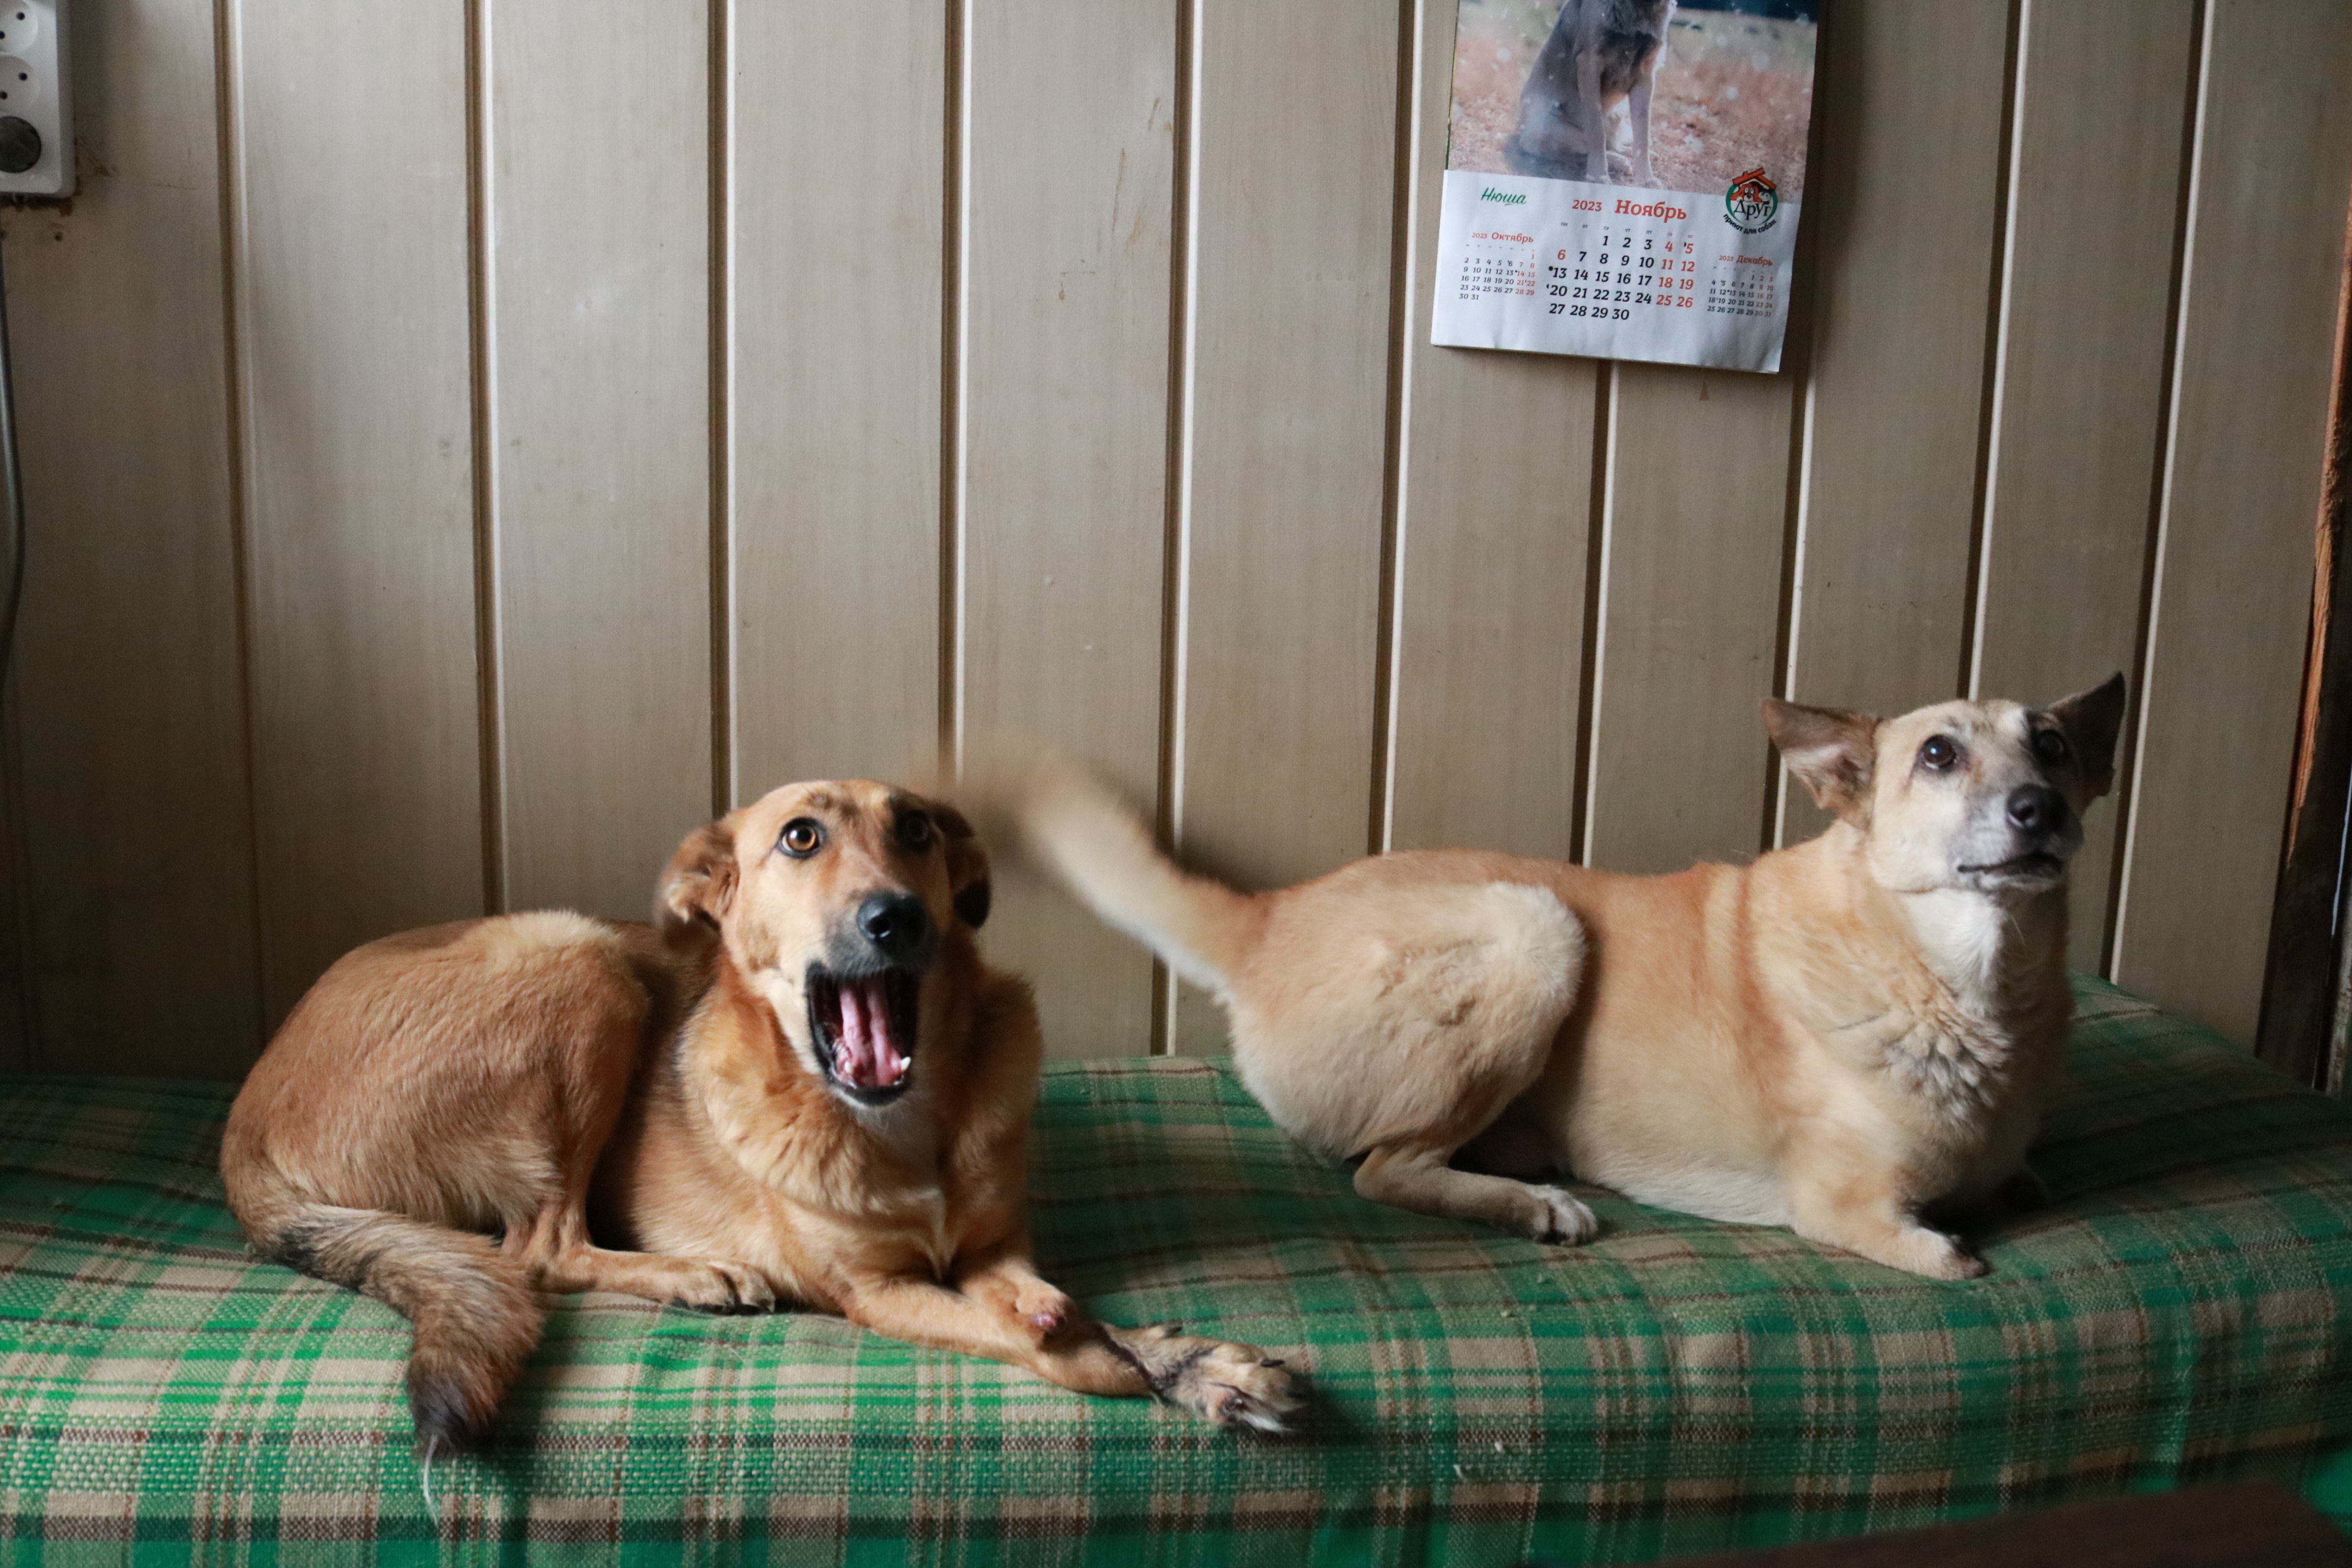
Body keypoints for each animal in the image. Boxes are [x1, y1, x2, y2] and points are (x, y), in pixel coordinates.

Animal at [227, 780, 1298, 1457]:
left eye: (917, 830)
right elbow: (1058, 1347)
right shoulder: (877, 1293)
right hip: (578, 963)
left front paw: (1192, 1364)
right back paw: (694, 1275)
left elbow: (1060, 1312)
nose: (897, 917)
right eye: (800, 837)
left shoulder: (1002, 1252)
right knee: (538, 1249)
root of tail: (246, 1119)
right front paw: (1154, 1367)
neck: (902, 1125)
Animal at [974, 681, 2135, 1279]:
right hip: (1534, 926)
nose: (2038, 808)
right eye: (1937, 754)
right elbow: (1954, 1251)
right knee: (1383, 1169)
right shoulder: (1852, 1207)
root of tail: (1273, 915)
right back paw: (1527, 1202)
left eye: (2052, 744)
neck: (1961, 978)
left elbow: (2016, 1180)